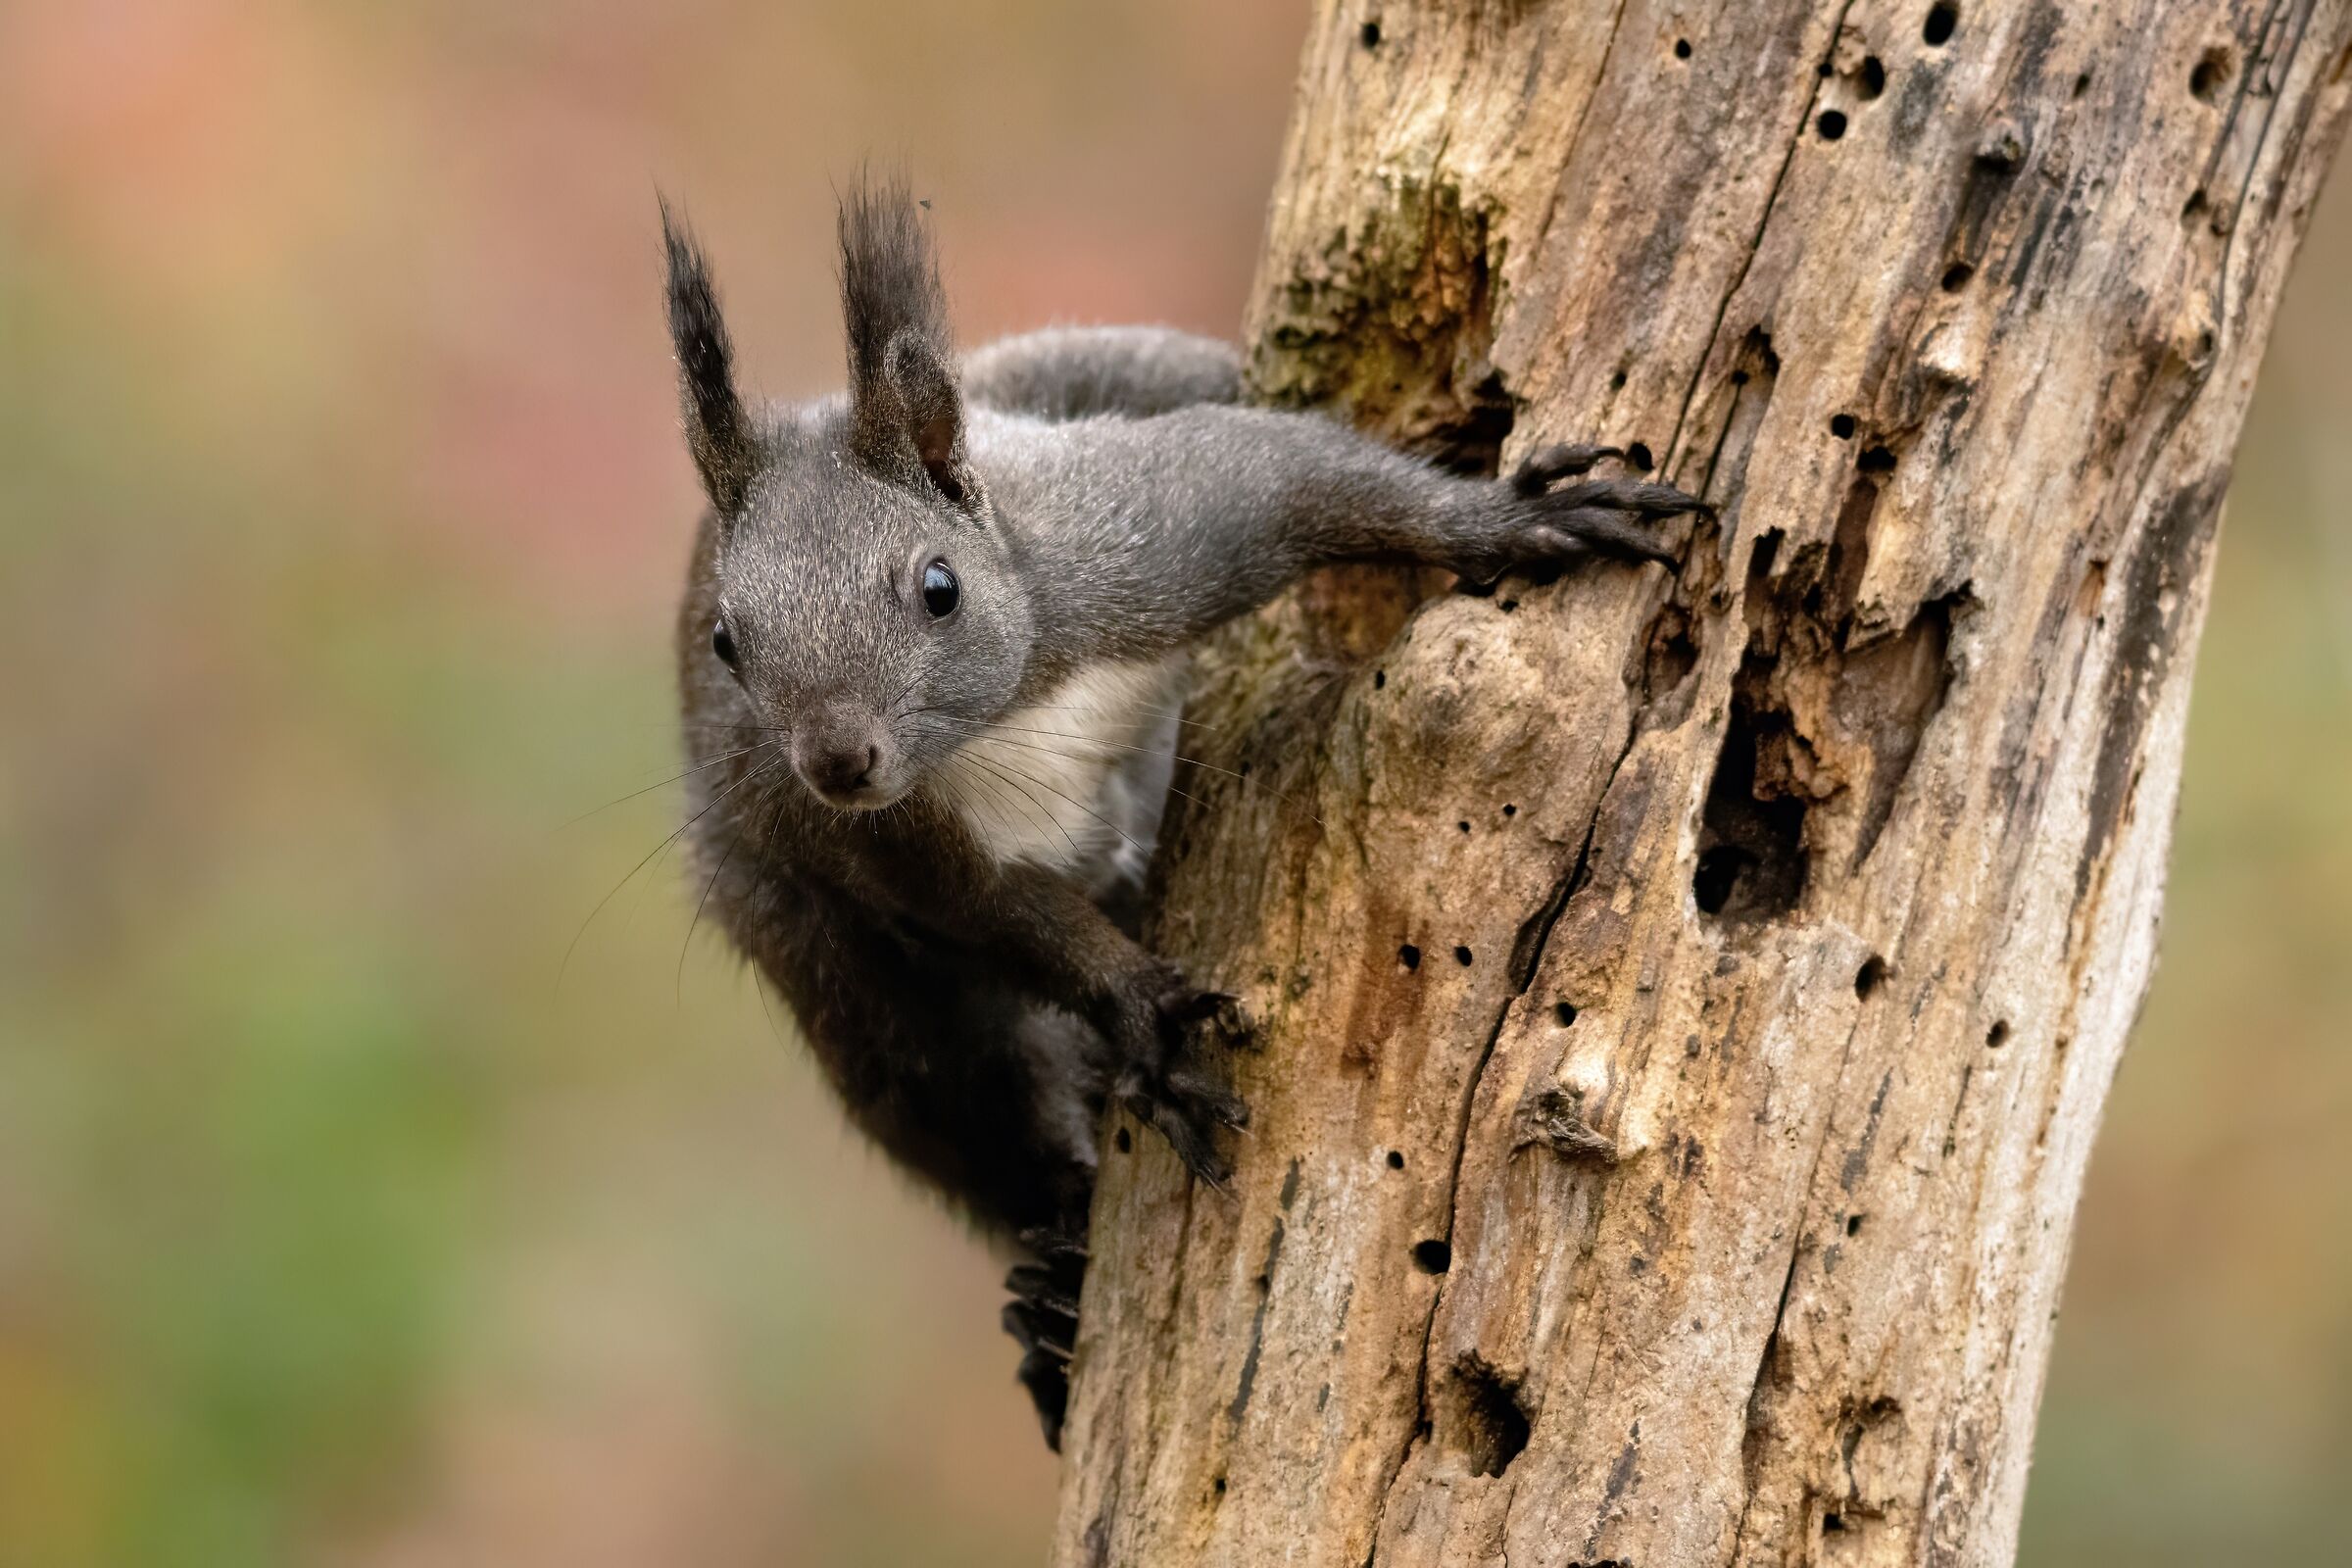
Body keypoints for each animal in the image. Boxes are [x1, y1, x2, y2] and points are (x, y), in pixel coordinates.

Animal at [659, 173, 1704, 1450]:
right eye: (727, 641)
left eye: (938, 587)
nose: (839, 759)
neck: (1001, 721)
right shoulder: (891, 852)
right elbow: (1014, 925)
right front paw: (1145, 1018)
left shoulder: (1136, 543)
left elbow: (1293, 476)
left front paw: (1503, 519)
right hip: (844, 981)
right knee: (978, 1110)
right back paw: (1049, 1297)